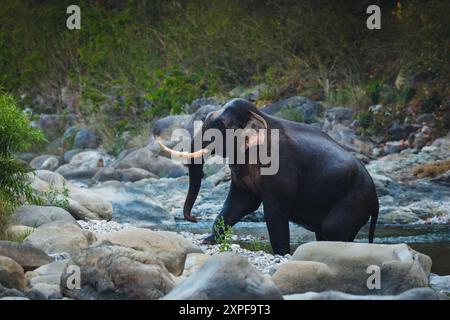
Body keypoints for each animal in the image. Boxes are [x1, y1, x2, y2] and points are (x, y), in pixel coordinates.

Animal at [160, 98, 378, 255]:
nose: (193, 218)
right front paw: (208, 240)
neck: (261, 115)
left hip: (354, 200)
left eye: (220, 124)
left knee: (332, 229)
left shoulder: (281, 169)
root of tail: (375, 200)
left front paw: (282, 254)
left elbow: (274, 211)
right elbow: (242, 203)